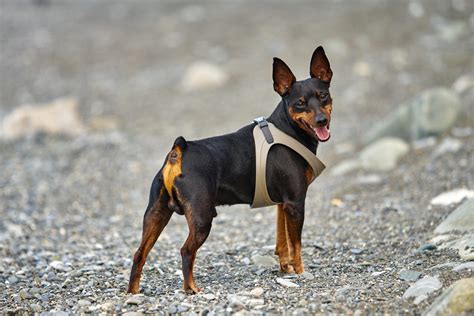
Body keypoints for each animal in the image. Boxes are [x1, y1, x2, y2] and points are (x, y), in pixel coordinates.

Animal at [128, 45, 332, 296]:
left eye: (323, 96)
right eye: (300, 103)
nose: (322, 120)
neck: (288, 130)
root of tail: (179, 151)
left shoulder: (282, 204)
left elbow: (282, 242)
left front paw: (286, 269)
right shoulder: (295, 203)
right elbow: (296, 246)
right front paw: (301, 272)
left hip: (156, 214)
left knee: (139, 254)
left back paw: (133, 292)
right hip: (202, 217)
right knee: (186, 251)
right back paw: (191, 288)